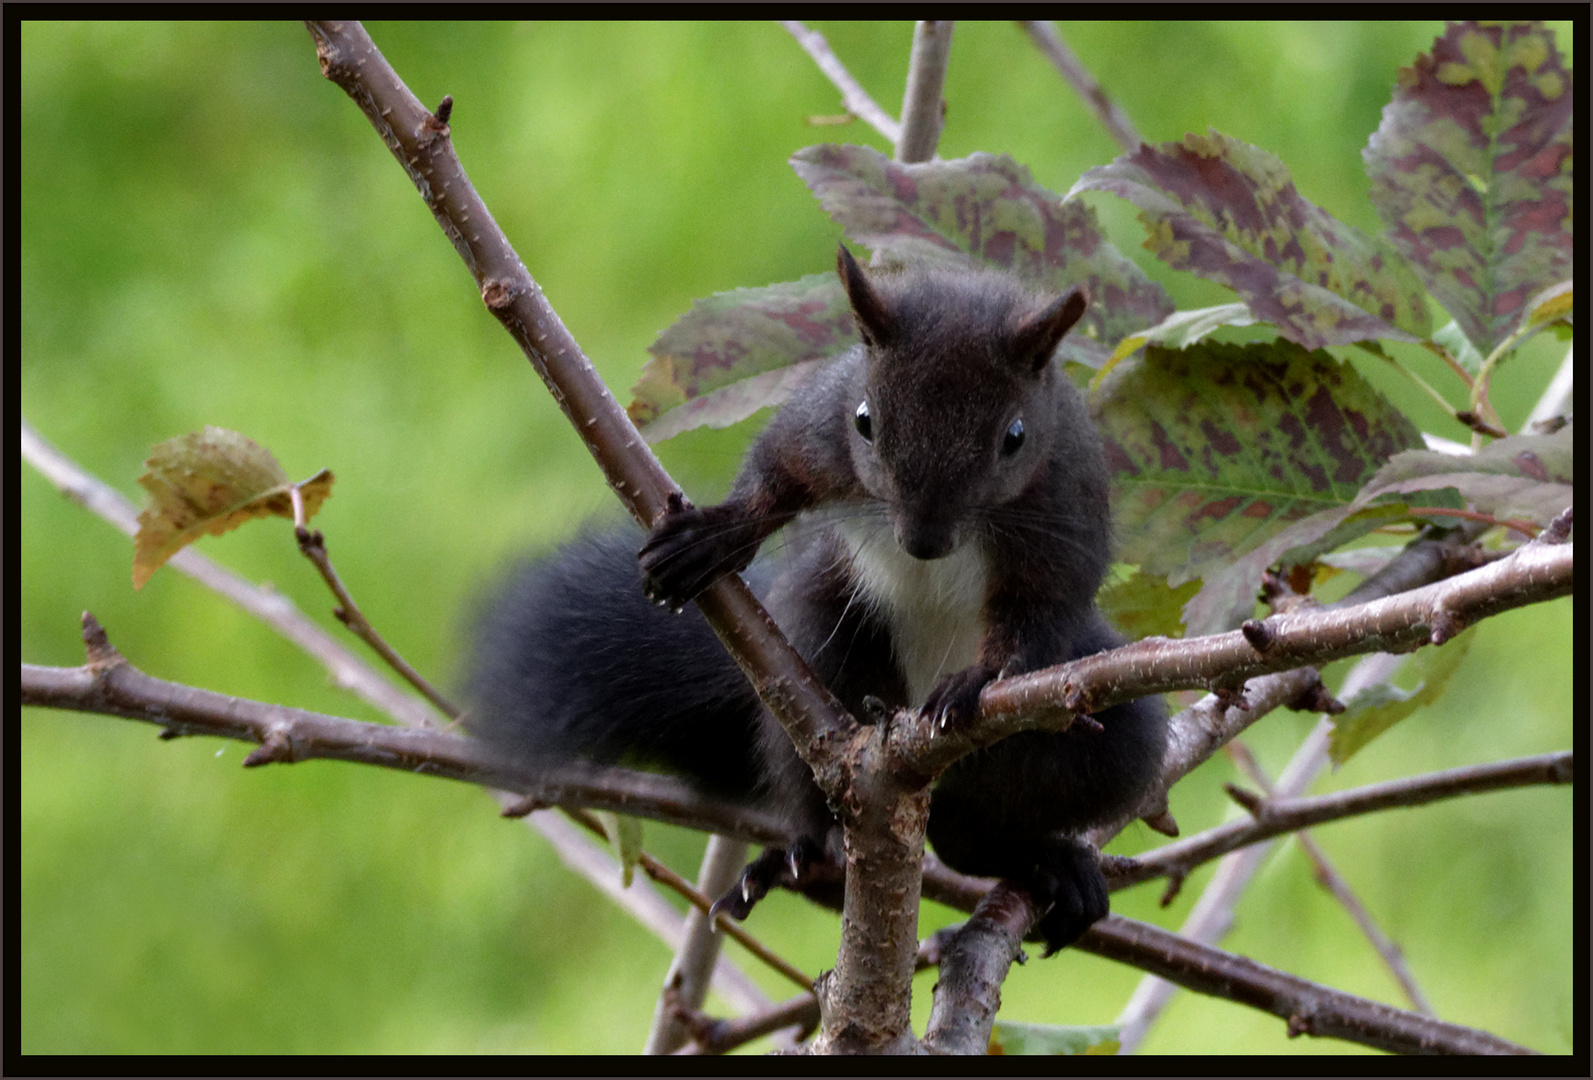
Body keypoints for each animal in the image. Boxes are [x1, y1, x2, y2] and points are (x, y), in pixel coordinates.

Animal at [465, 246, 1166, 955]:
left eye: (1015, 437)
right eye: (864, 421)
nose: (924, 541)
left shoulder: (1065, 509)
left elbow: (1041, 614)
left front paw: (977, 679)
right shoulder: (820, 427)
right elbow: (778, 473)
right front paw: (715, 535)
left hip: (1090, 751)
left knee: (975, 836)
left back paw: (1047, 862)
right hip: (819, 646)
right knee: (833, 801)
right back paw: (812, 859)